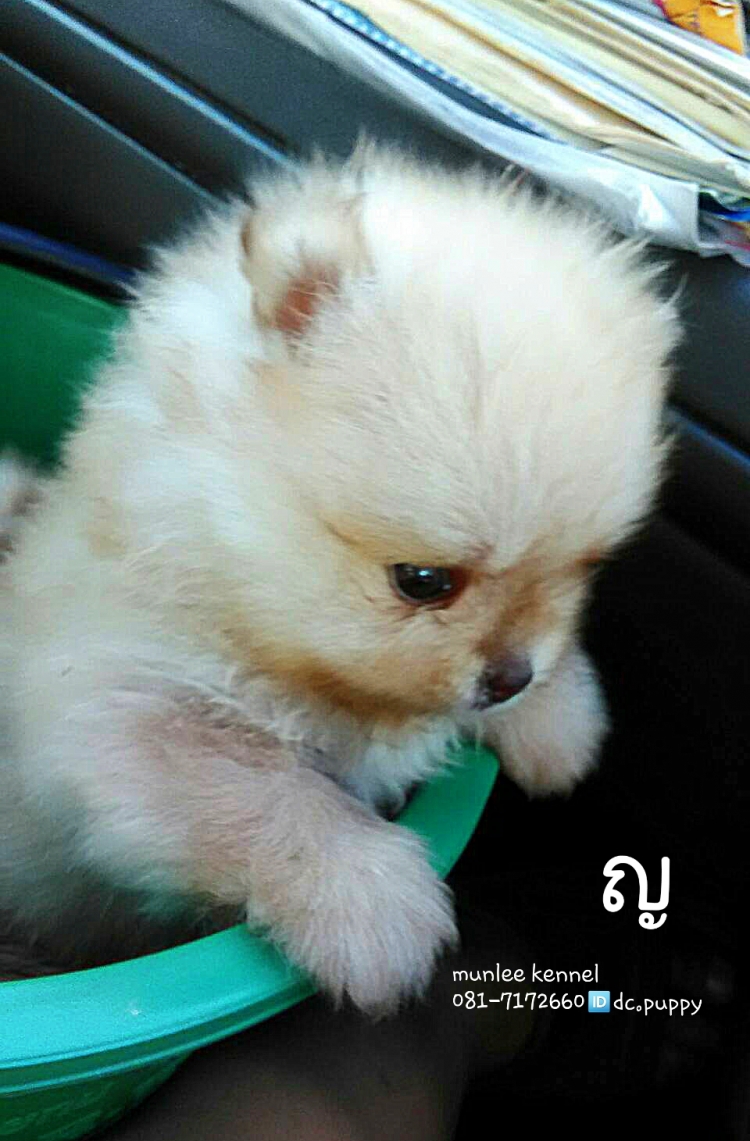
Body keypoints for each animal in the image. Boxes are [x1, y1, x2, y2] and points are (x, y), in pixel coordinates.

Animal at [0, 147, 678, 1011]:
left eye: (584, 566)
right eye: (422, 580)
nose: (509, 678)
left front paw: (557, 717)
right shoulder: (114, 709)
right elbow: (263, 791)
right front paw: (372, 901)